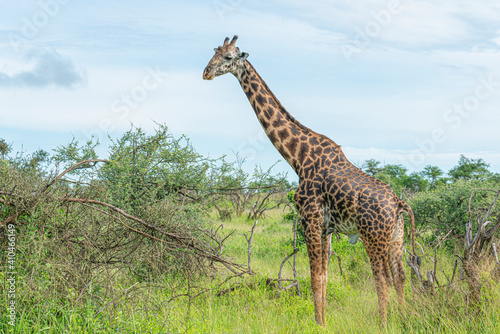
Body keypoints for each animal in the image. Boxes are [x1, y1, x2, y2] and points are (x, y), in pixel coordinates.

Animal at [203, 36, 418, 326]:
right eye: (214, 52)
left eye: (228, 57)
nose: (206, 72)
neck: (297, 157)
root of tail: (397, 203)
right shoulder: (326, 227)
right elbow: (324, 277)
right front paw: (323, 322)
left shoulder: (309, 217)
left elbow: (315, 277)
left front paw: (319, 324)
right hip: (396, 237)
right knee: (400, 277)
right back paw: (404, 319)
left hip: (373, 236)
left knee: (382, 279)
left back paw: (384, 325)